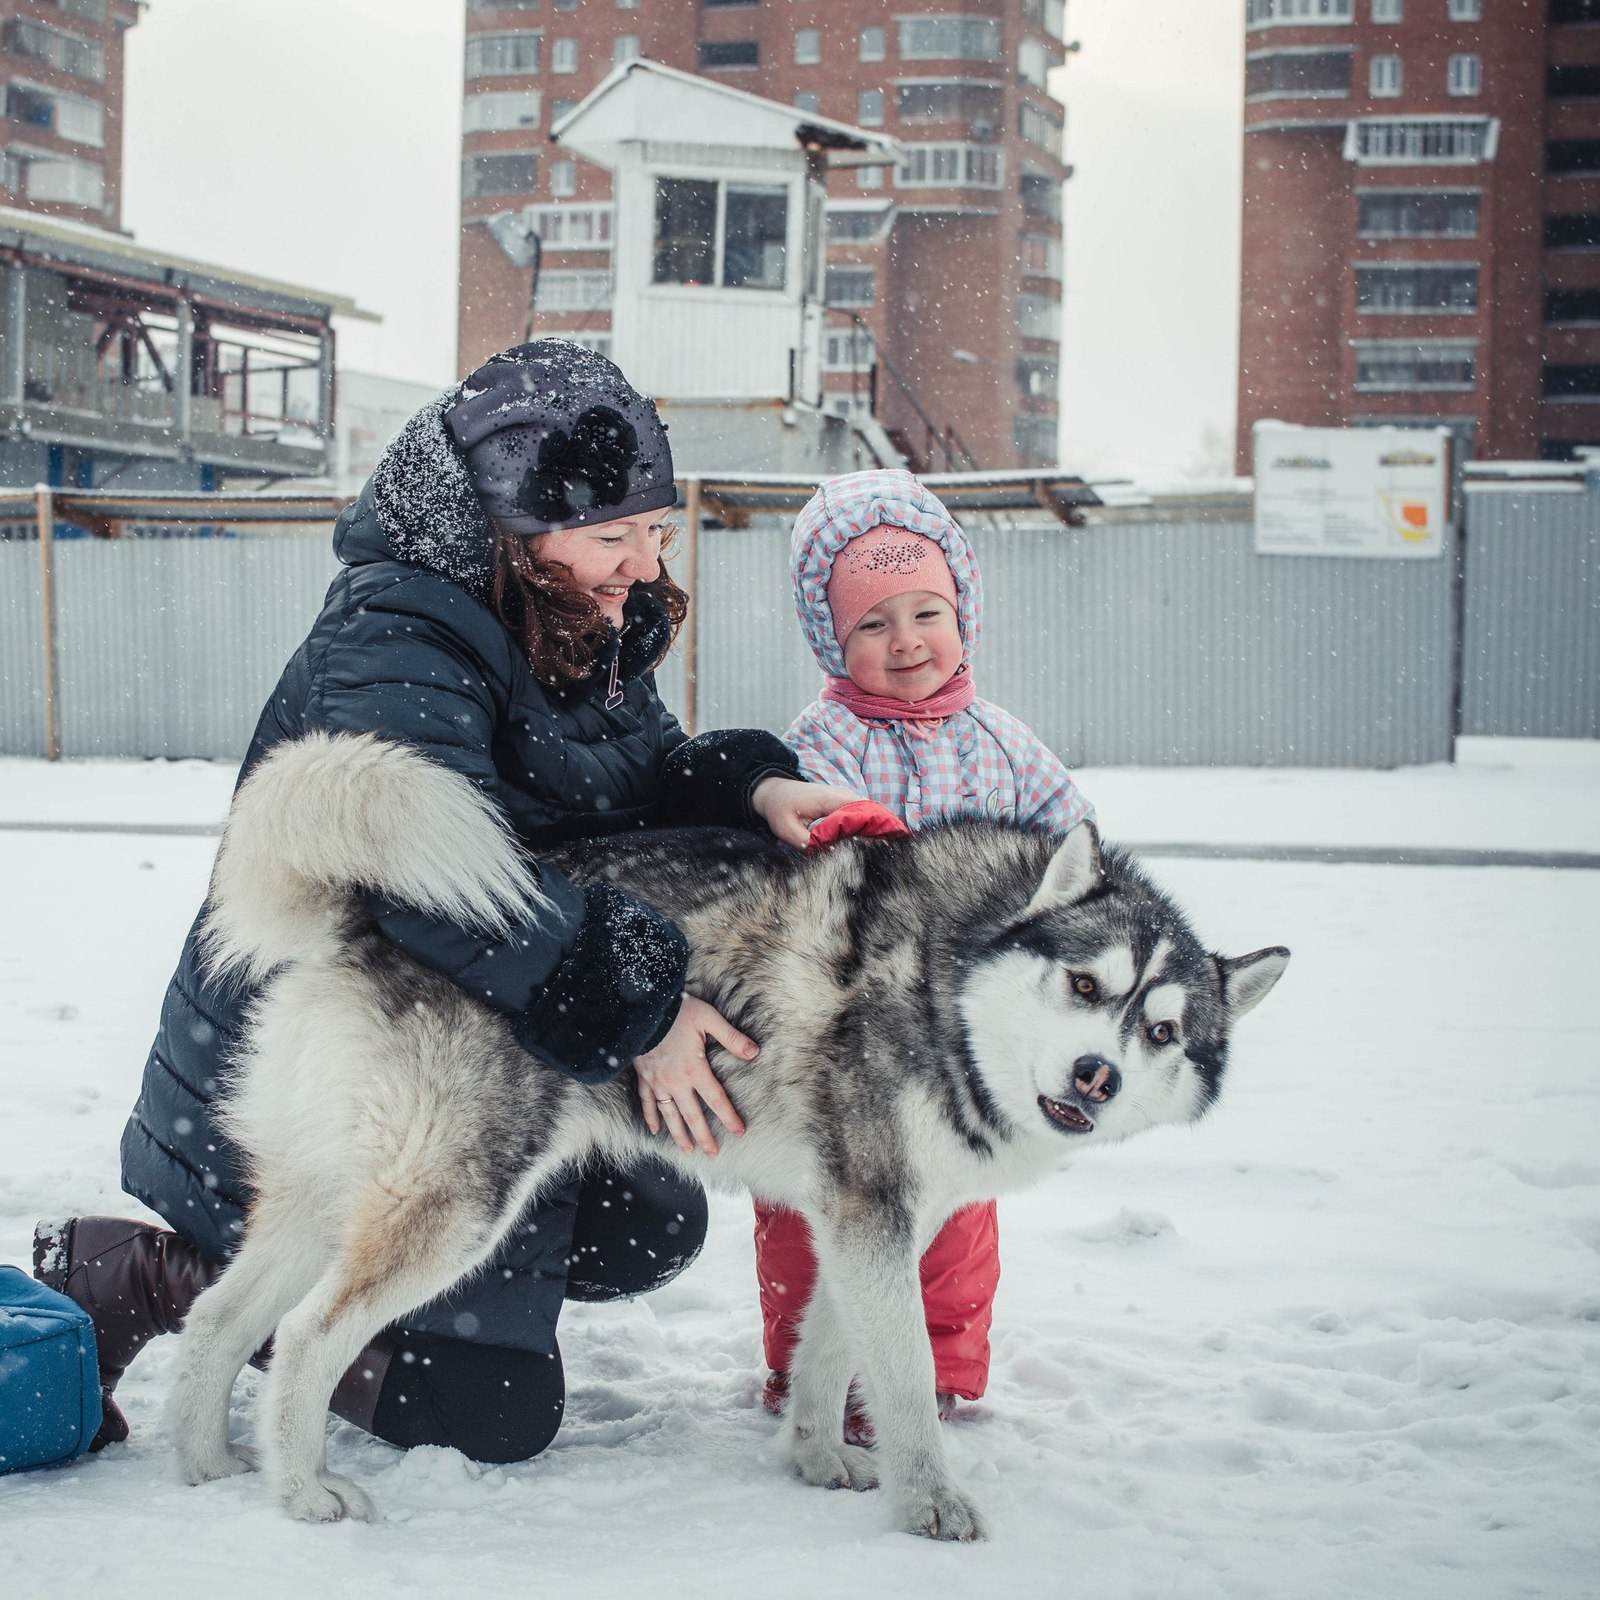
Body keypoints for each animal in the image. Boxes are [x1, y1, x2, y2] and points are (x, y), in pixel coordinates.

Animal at [168, 732, 1286, 1542]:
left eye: (1162, 1031)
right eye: (1085, 984)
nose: (1096, 1074)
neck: (947, 980)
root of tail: (361, 924)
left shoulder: (868, 1220)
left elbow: (831, 1352)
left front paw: (818, 1459)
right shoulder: (873, 1212)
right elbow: (909, 1379)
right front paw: (929, 1503)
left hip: (325, 1196)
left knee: (217, 1317)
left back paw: (211, 1460)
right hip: (455, 1207)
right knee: (306, 1333)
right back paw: (303, 1492)